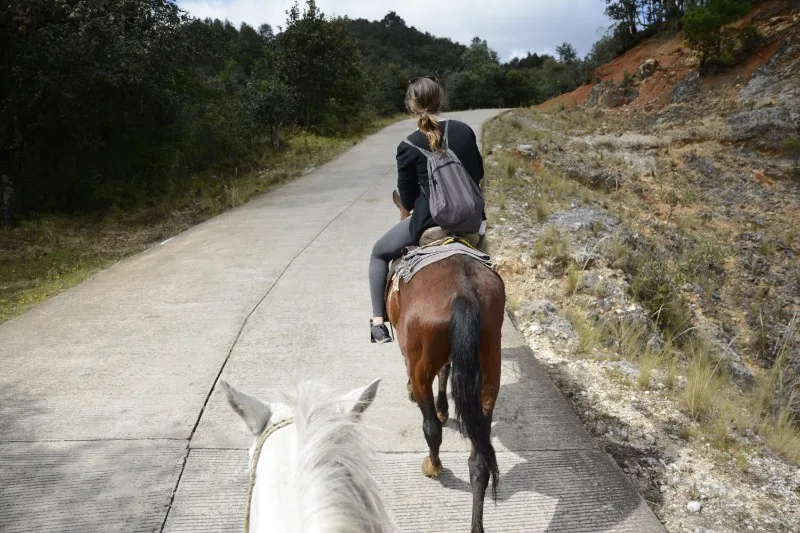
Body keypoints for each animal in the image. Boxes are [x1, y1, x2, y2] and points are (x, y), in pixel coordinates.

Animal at [384, 191, 504, 532]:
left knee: (431, 428)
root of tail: (463, 292)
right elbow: (447, 371)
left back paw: (433, 465)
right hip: (490, 364)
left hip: (420, 362)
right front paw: (444, 406)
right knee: (479, 460)